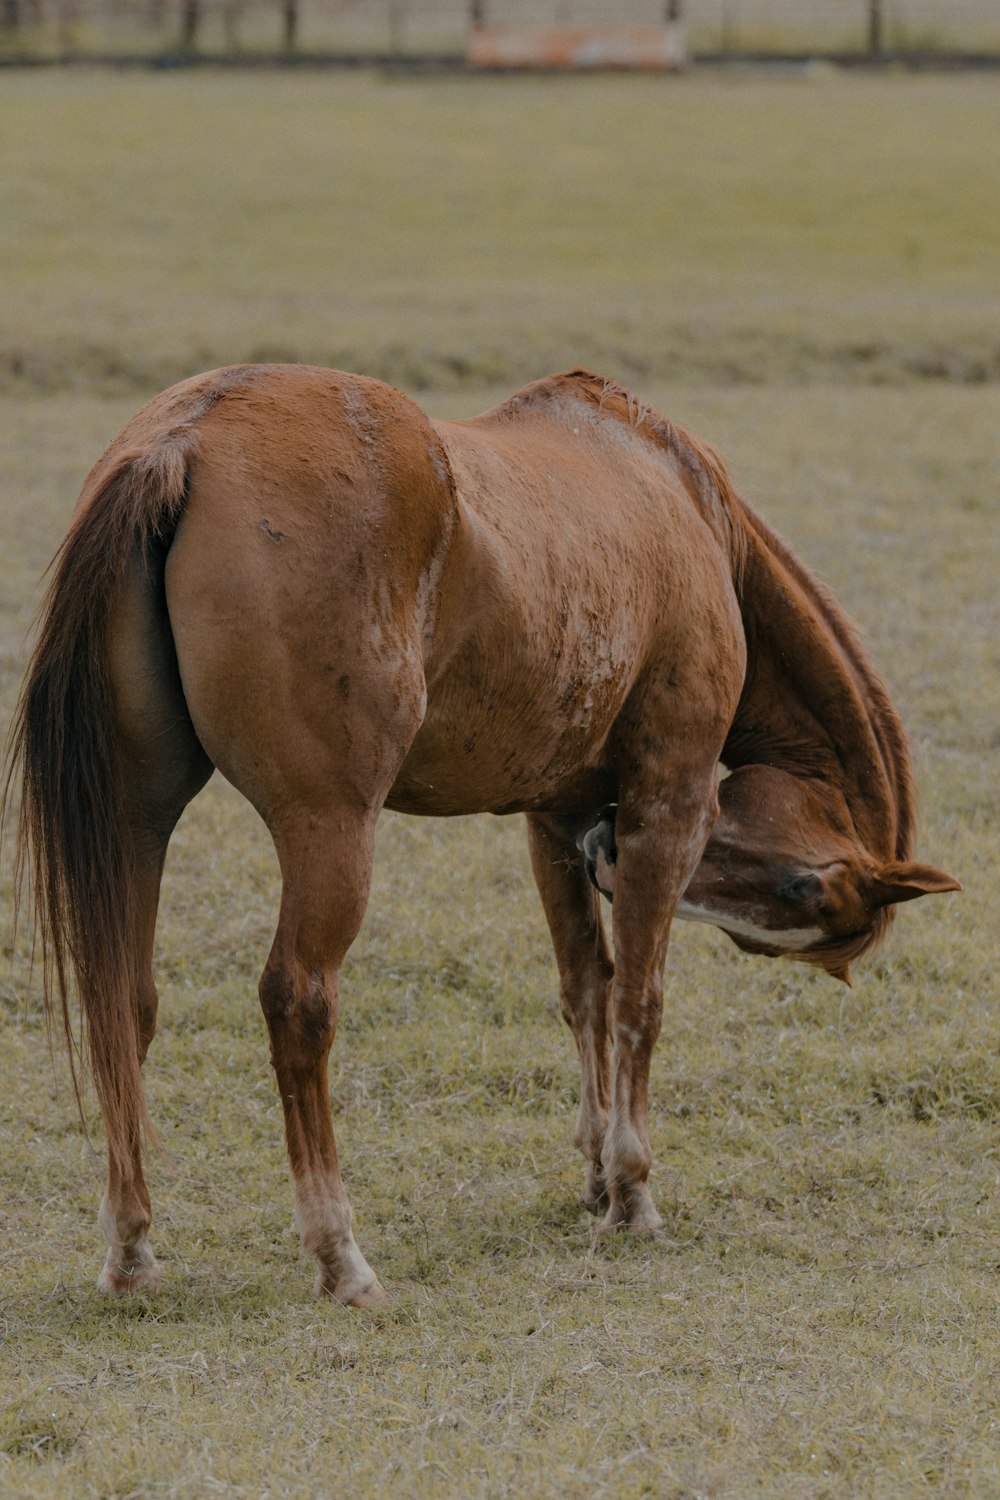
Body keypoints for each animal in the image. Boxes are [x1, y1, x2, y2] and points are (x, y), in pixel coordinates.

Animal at [7, 369, 959, 1308]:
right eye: (805, 889)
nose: (607, 855)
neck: (684, 500)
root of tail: (186, 437)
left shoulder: (556, 819)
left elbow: (585, 986)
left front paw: (595, 1173)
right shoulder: (670, 805)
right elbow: (638, 1001)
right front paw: (632, 1191)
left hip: (138, 819)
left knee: (124, 1003)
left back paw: (132, 1248)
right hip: (330, 828)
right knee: (298, 1002)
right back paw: (338, 1252)